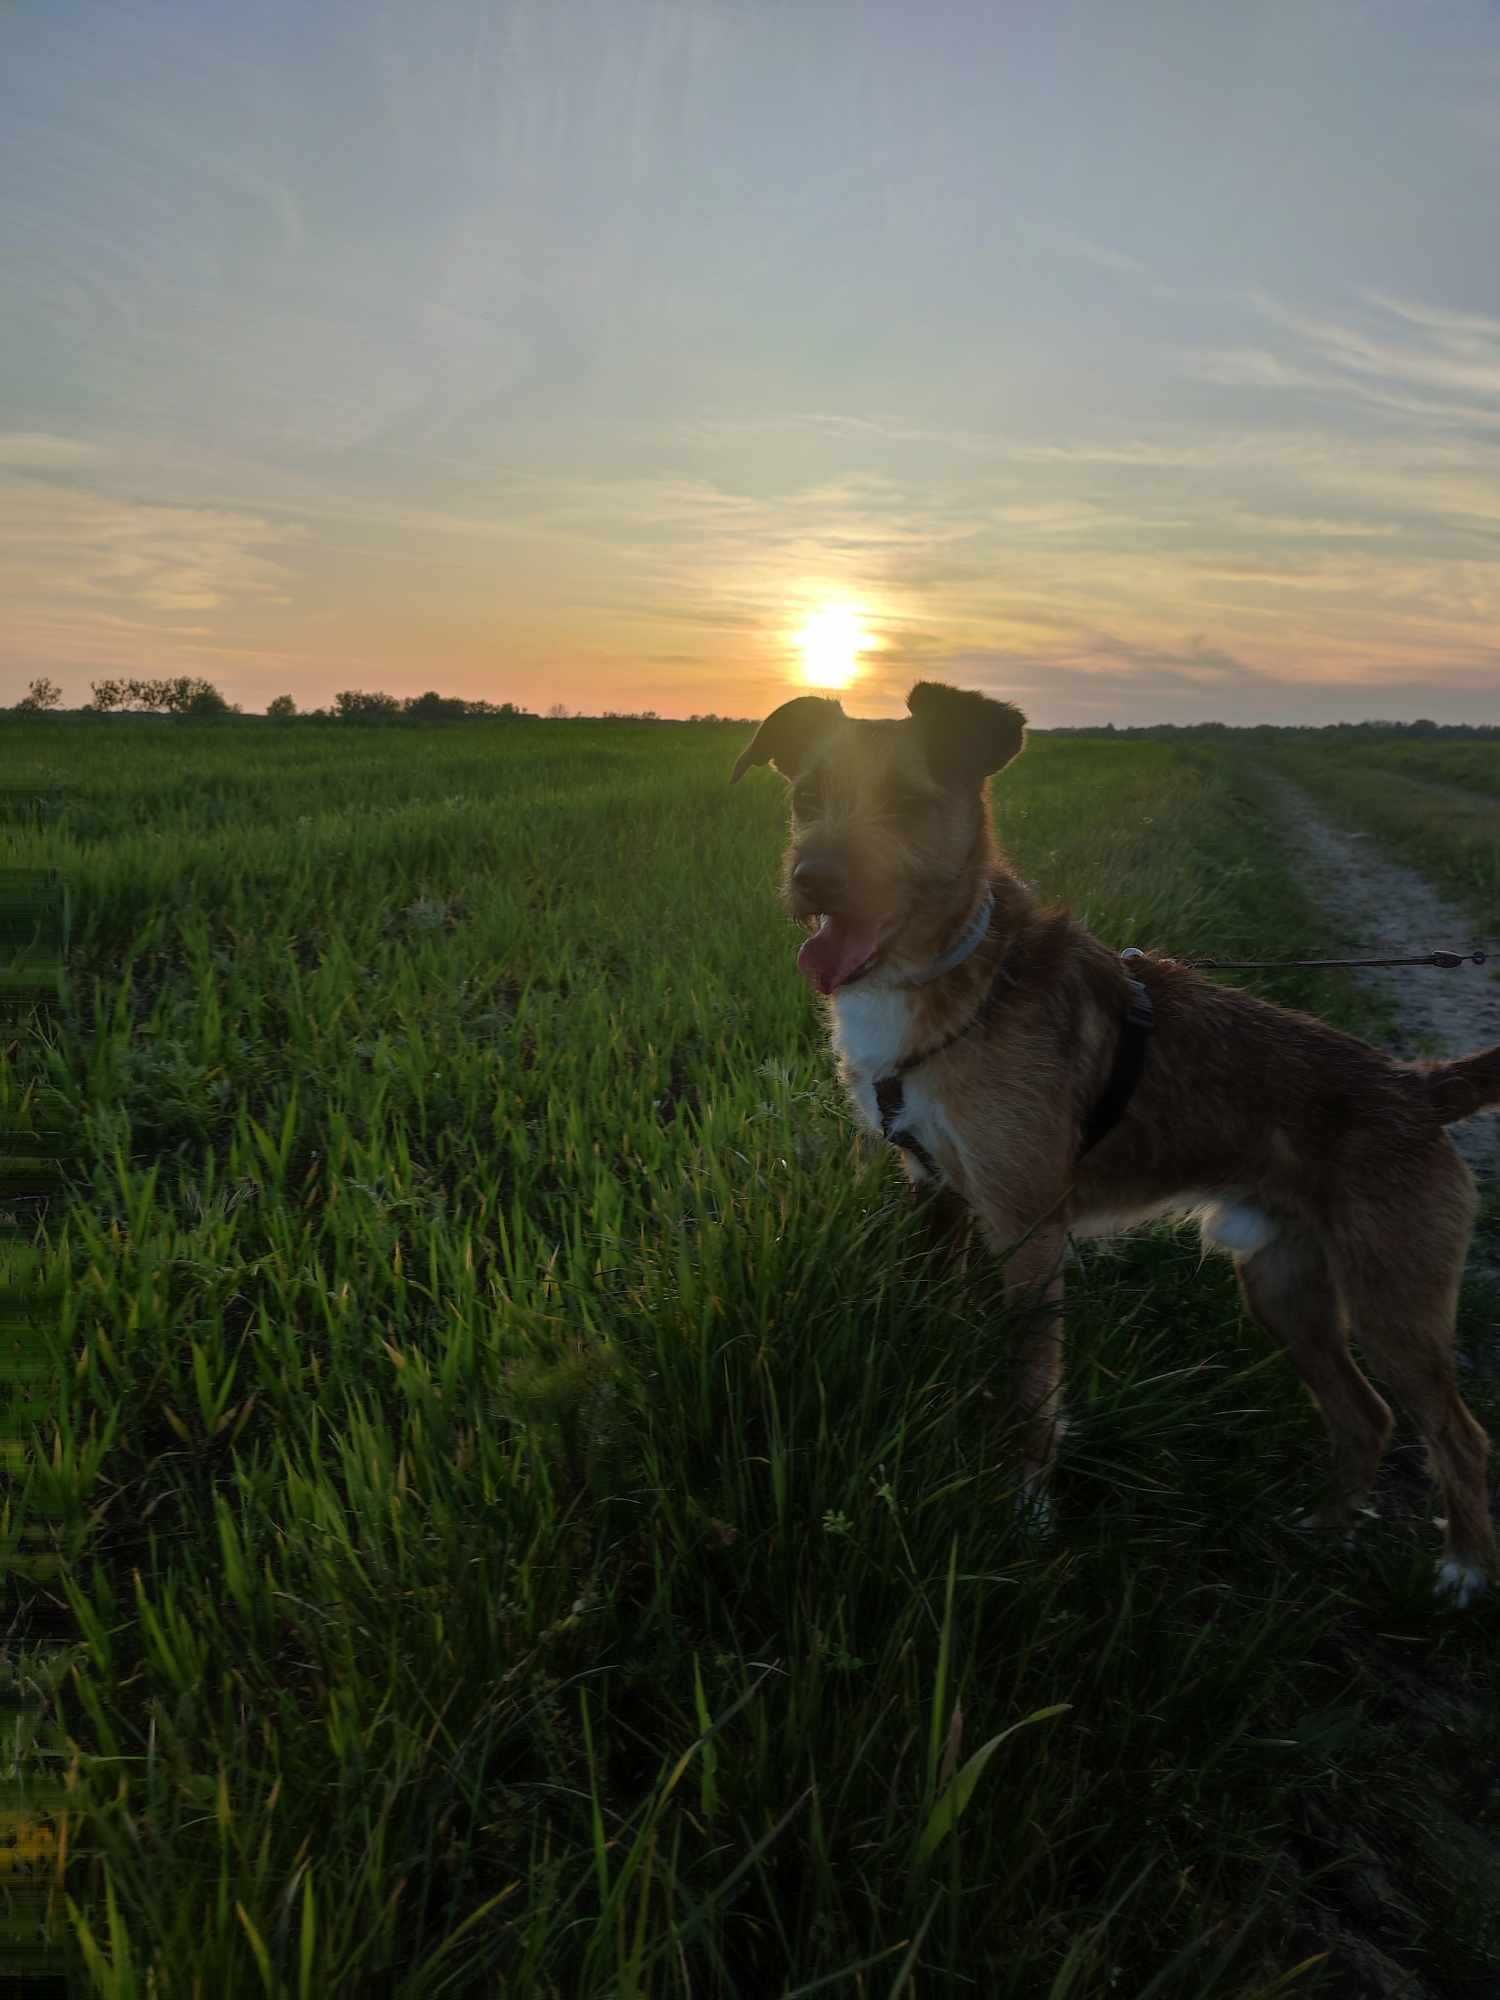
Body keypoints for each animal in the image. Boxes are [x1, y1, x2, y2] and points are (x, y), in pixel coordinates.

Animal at [736, 680, 1500, 1600]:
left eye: (911, 804)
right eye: (804, 798)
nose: (811, 878)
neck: (952, 979)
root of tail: (1420, 1088)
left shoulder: (1028, 1227)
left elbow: (1031, 1387)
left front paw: (1027, 1509)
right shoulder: (936, 1193)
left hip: (1395, 1300)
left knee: (1459, 1434)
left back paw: (1465, 1568)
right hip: (1284, 1287)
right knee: (1366, 1417)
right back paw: (1325, 1530)